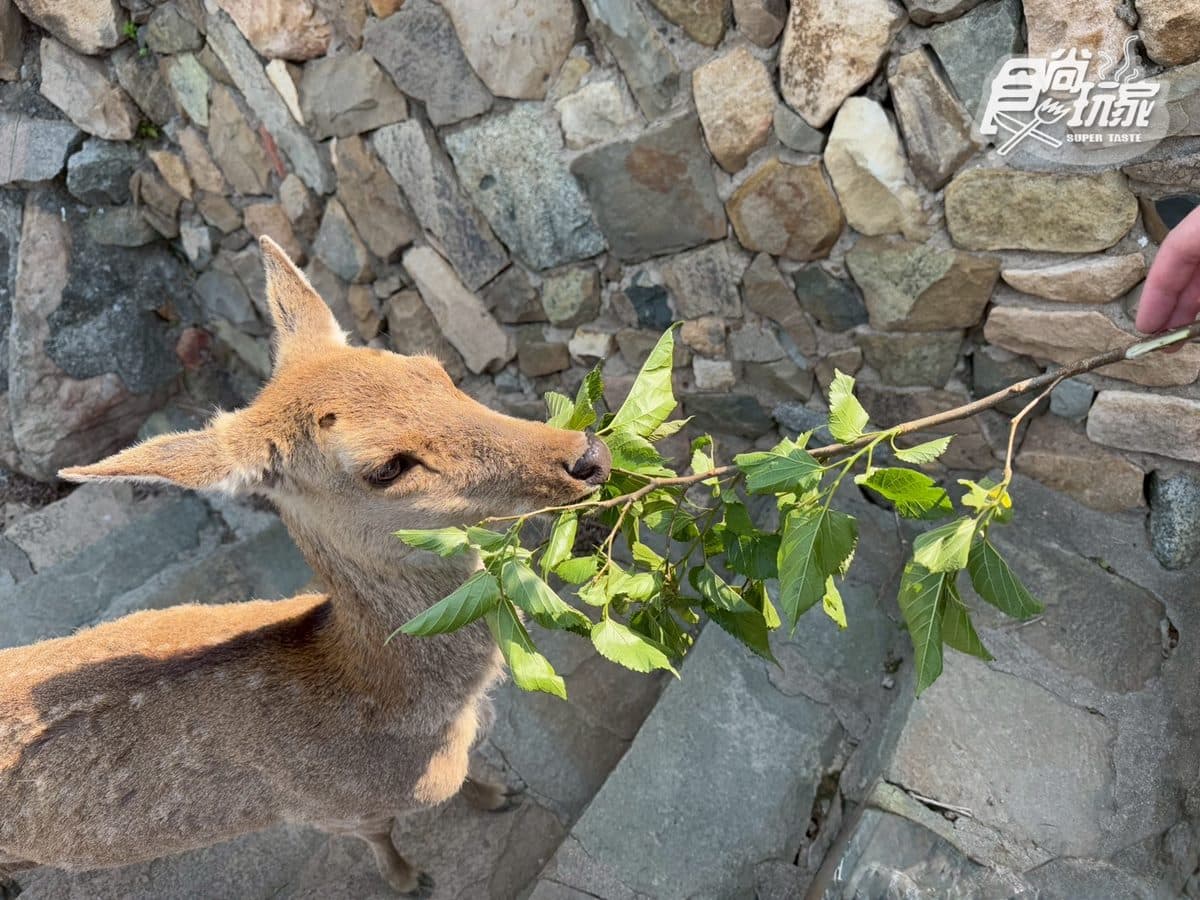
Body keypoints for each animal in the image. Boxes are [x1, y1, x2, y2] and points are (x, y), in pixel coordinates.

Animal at [0, 237, 612, 897]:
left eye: (433, 369)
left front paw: (499, 793)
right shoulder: (330, 809)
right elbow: (381, 835)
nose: (589, 454)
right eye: (386, 467)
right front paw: (410, 879)